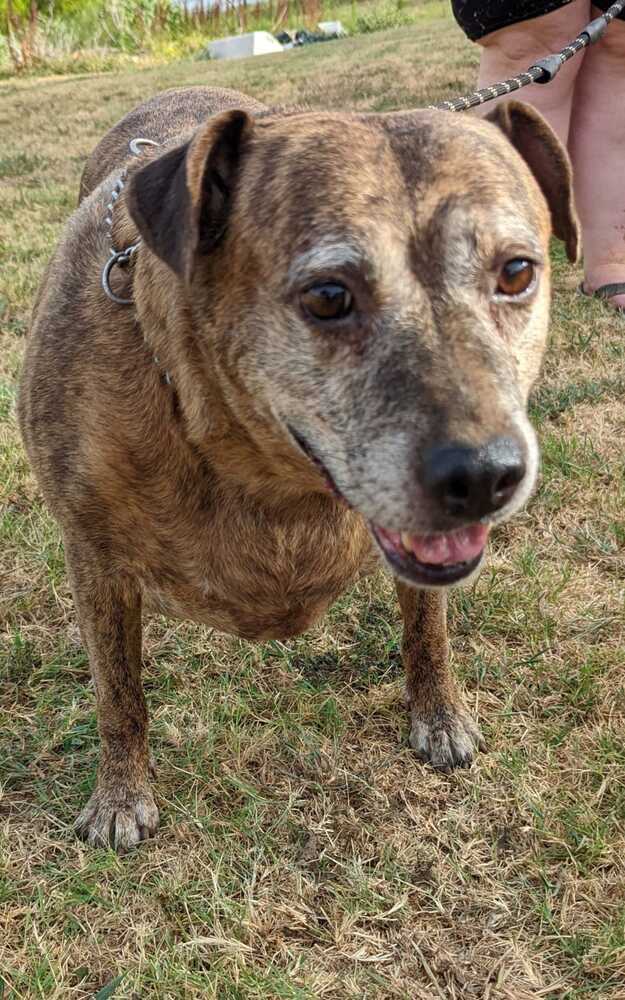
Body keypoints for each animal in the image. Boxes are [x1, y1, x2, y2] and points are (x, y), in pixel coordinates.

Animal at [17, 88, 576, 852]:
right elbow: (118, 689)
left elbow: (426, 629)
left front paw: (438, 715)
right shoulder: (93, 561)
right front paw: (121, 794)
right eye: (328, 296)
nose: (486, 476)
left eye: (516, 272)